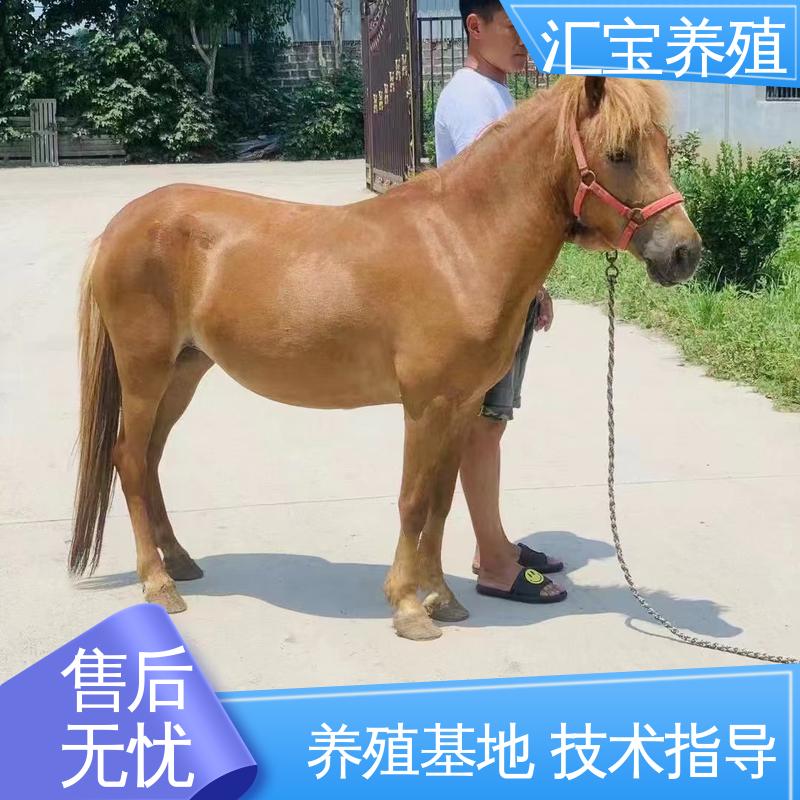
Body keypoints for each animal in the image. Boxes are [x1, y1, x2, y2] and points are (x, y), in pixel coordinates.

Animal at [70, 76, 701, 641]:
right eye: (618, 155)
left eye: (665, 151)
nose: (684, 252)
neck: (460, 244)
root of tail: (118, 227)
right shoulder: (425, 406)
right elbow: (414, 500)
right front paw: (409, 607)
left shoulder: (461, 406)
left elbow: (443, 501)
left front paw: (442, 598)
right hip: (146, 372)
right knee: (130, 460)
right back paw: (158, 584)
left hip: (184, 371)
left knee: (149, 460)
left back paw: (179, 562)